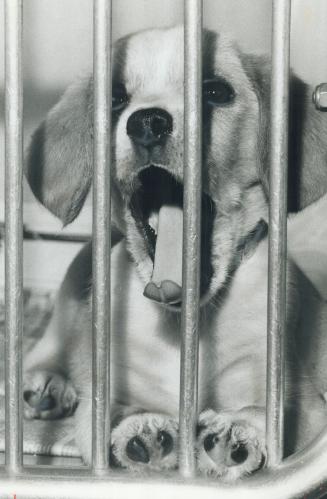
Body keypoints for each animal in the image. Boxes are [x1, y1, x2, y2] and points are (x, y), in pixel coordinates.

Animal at [21, 26, 327, 480]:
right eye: (115, 98)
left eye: (215, 91)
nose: (147, 122)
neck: (183, 325)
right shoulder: (101, 395)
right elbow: (106, 411)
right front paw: (143, 430)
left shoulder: (303, 403)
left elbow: (268, 413)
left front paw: (235, 433)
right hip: (71, 288)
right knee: (49, 346)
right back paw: (45, 384)